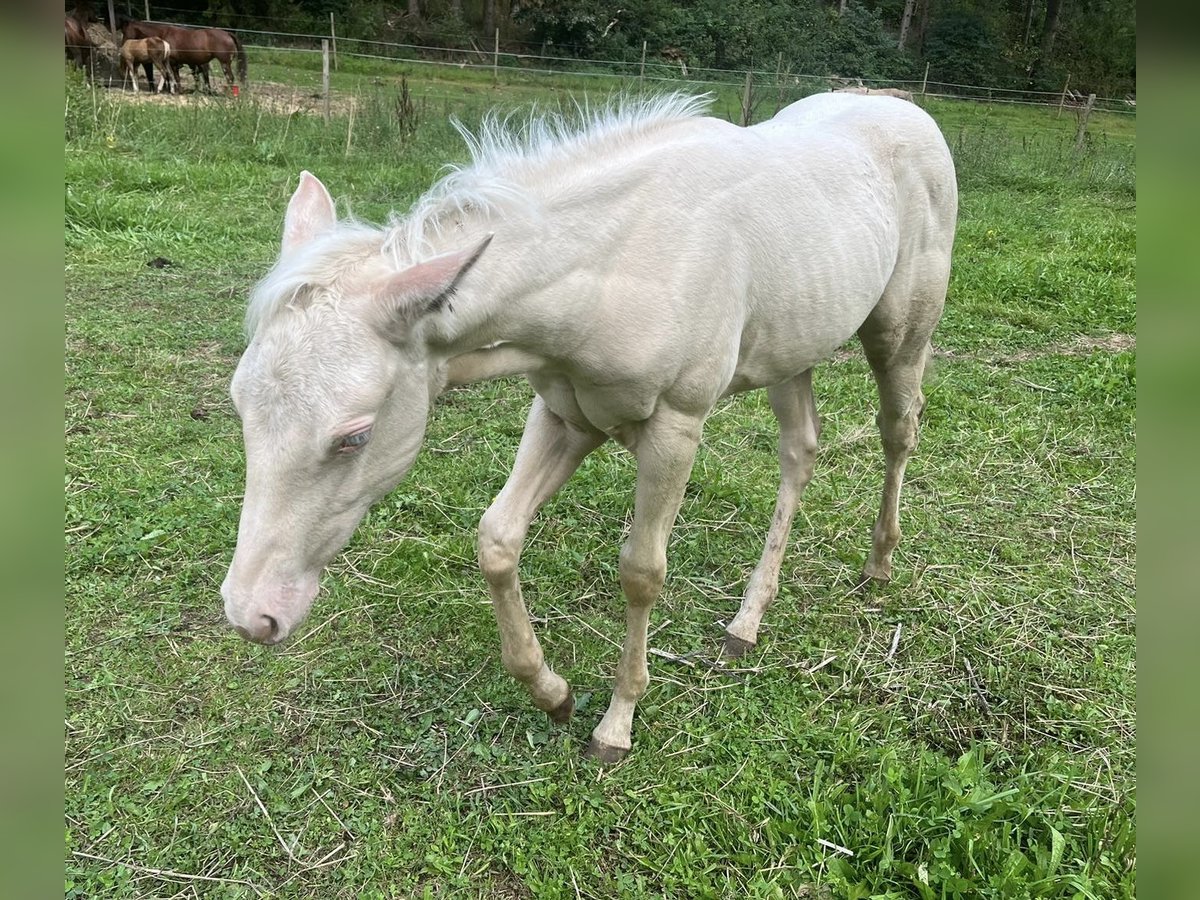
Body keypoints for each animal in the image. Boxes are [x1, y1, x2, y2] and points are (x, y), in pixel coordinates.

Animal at [118, 18, 247, 92]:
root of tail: (228, 34)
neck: (163, 35)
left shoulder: (172, 63)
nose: (123, 44)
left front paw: (176, 90)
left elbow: (174, 77)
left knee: (230, 78)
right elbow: (174, 77)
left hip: (224, 63)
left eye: (124, 32)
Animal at [223, 93, 955, 763]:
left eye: (354, 435)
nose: (252, 615)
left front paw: (616, 724)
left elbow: (641, 571)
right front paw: (553, 693)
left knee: (898, 430)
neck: (610, 266)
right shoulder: (565, 415)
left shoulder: (676, 427)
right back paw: (746, 622)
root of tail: (906, 109)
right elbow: (497, 538)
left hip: (899, 335)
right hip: (791, 347)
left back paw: (879, 563)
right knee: (800, 450)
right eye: (239, 407)